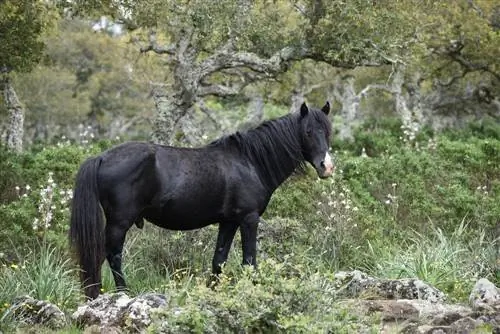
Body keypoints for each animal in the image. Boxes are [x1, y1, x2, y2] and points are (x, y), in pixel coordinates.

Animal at [69, 101, 332, 298]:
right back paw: (124, 294)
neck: (250, 162)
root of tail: (101, 157)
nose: (326, 167)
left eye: (328, 131)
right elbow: (249, 261)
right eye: (308, 132)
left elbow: (219, 261)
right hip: (119, 222)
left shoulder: (229, 222)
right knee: (112, 256)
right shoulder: (249, 219)